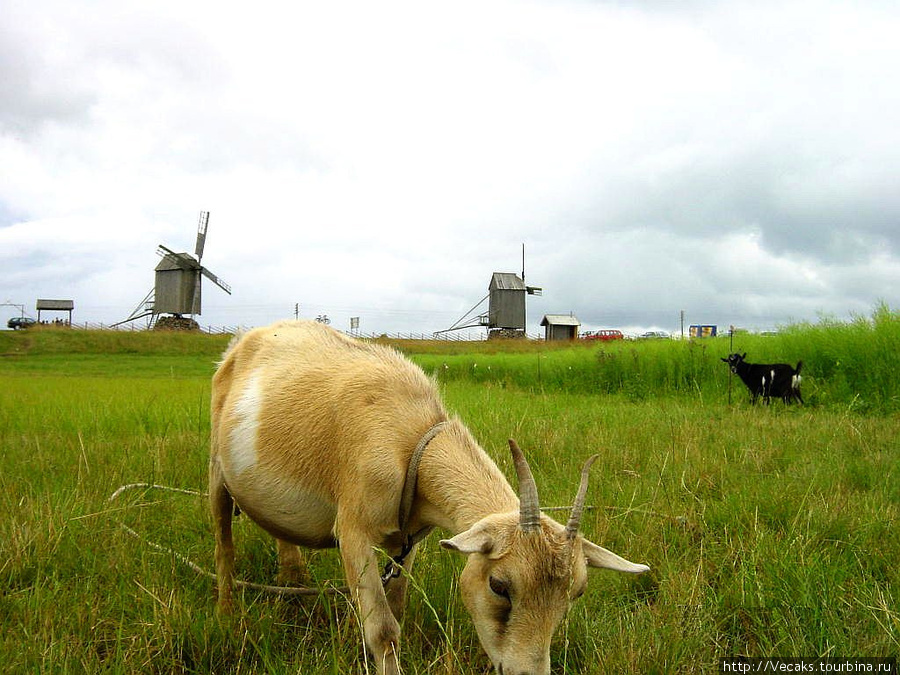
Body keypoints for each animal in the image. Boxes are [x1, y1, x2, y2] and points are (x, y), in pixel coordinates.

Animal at [211, 322, 648, 675]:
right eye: (499, 585)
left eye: (576, 593)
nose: (526, 672)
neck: (413, 441)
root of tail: (243, 340)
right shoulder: (354, 530)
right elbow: (384, 629)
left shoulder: (408, 541)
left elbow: (397, 608)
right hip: (217, 472)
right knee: (224, 545)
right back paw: (227, 617)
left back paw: (292, 583)